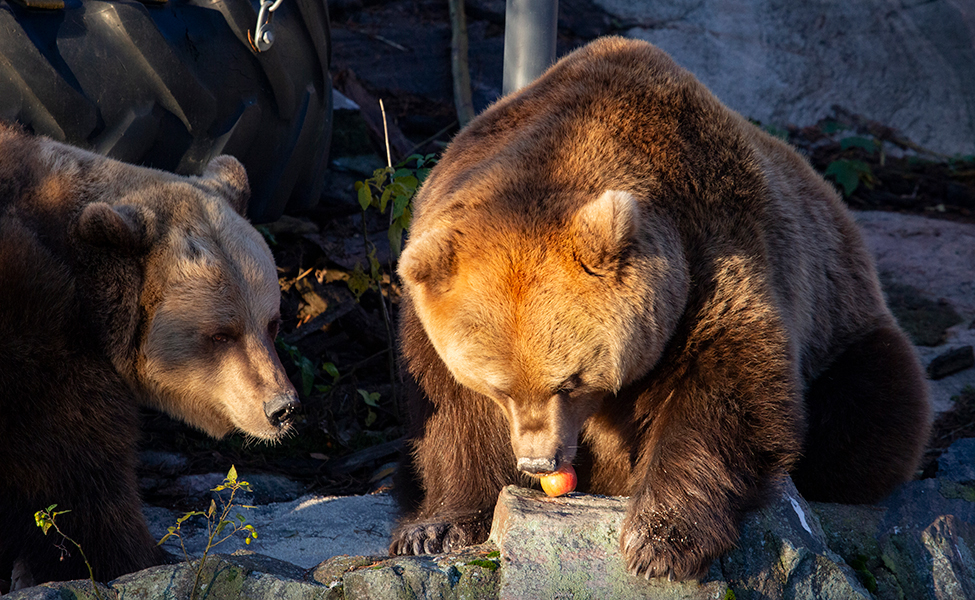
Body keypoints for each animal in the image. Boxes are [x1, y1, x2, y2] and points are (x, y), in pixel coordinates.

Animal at [0, 123, 300, 592]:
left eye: (272, 322)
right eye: (221, 334)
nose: (281, 407)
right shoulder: (39, 341)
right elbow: (75, 476)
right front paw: (133, 558)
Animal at [386, 38, 932, 580]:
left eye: (571, 381)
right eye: (500, 388)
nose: (541, 462)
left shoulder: (708, 258)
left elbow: (726, 385)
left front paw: (660, 541)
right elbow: (451, 416)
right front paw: (433, 529)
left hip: (842, 320)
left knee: (871, 408)